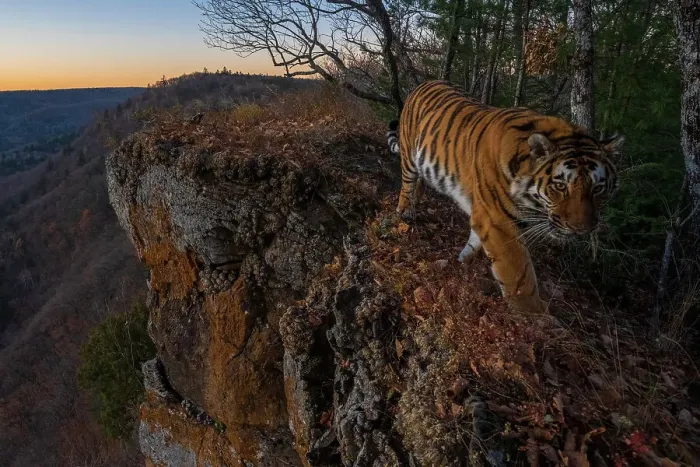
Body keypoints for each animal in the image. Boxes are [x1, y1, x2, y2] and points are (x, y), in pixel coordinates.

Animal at [386, 80, 624, 314]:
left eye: (598, 188)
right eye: (560, 186)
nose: (581, 229)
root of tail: (424, 83)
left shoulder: (486, 215)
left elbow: (476, 240)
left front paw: (463, 260)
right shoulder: (498, 221)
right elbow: (519, 272)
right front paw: (536, 315)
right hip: (409, 155)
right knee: (407, 184)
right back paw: (405, 212)